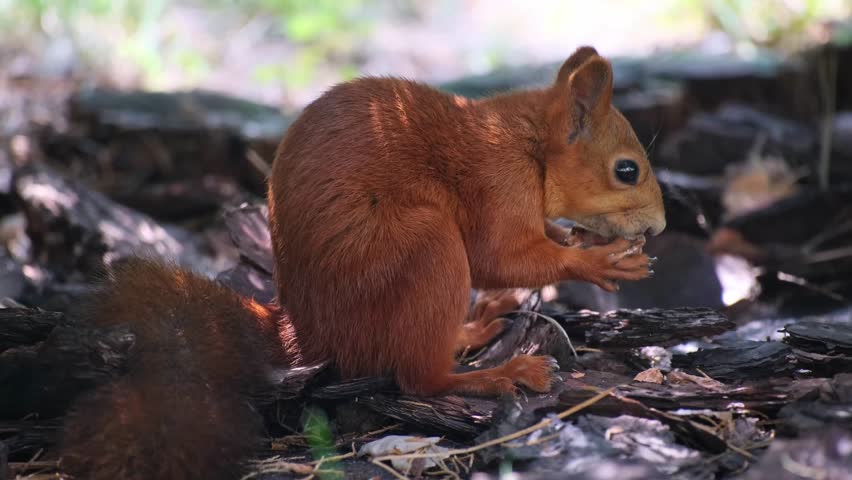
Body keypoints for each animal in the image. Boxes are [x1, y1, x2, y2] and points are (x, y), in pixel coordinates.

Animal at [59, 46, 665, 479]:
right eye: (627, 170)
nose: (658, 227)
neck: (528, 142)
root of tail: (305, 335)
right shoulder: (498, 181)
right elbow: (497, 256)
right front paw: (599, 261)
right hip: (425, 248)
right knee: (421, 378)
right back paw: (500, 372)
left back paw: (471, 330)